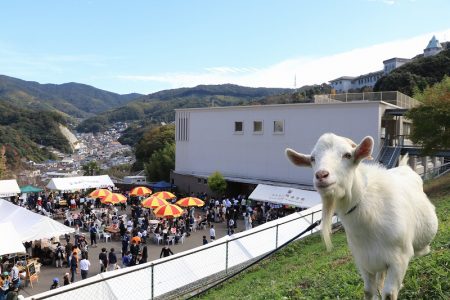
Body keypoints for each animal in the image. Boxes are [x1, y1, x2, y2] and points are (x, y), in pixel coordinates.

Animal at [286, 134, 438, 300]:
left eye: (347, 155)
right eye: (313, 158)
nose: (321, 175)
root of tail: (404, 167)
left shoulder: (399, 259)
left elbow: (389, 294)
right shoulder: (364, 262)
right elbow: (368, 291)